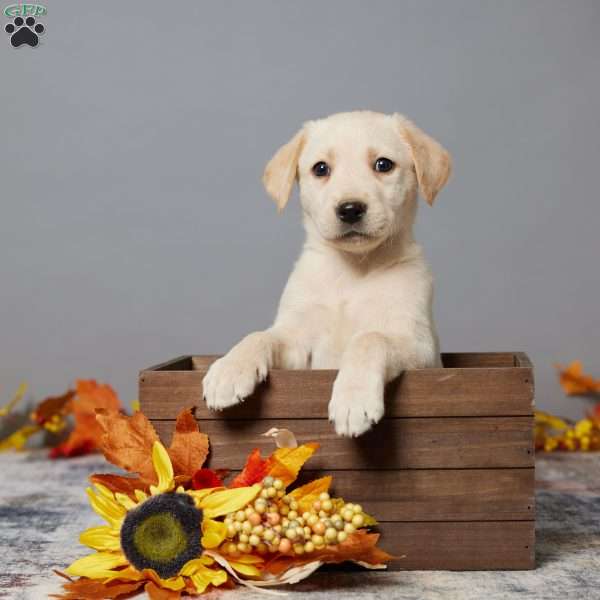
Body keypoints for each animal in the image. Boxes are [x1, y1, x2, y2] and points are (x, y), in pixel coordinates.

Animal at [202, 110, 450, 436]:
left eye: (383, 165)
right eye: (321, 168)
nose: (350, 209)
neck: (353, 271)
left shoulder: (419, 346)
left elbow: (370, 338)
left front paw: (353, 399)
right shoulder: (297, 346)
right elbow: (260, 336)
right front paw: (230, 369)